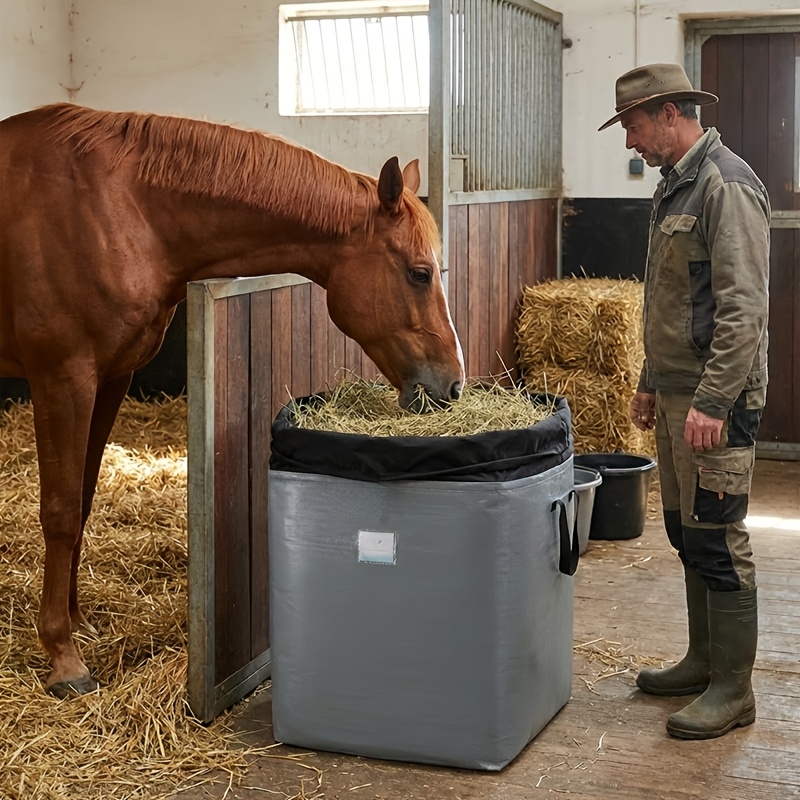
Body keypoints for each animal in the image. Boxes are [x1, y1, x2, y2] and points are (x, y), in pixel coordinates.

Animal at [0, 103, 465, 699]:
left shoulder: (110, 378)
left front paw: (77, 622)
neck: (116, 208)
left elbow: (81, 501)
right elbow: (59, 510)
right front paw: (63, 656)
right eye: (419, 273)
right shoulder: (63, 377)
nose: (452, 386)